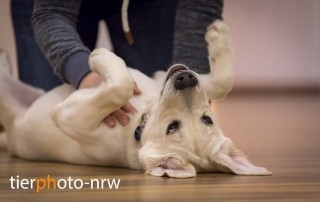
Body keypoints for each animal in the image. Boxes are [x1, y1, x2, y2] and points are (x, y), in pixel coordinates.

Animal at [0, 21, 272, 178]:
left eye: (171, 127)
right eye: (208, 119)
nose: (184, 79)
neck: (139, 125)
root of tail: (11, 134)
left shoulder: (67, 115)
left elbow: (120, 87)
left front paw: (100, 56)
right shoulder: (160, 76)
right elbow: (223, 82)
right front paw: (219, 38)